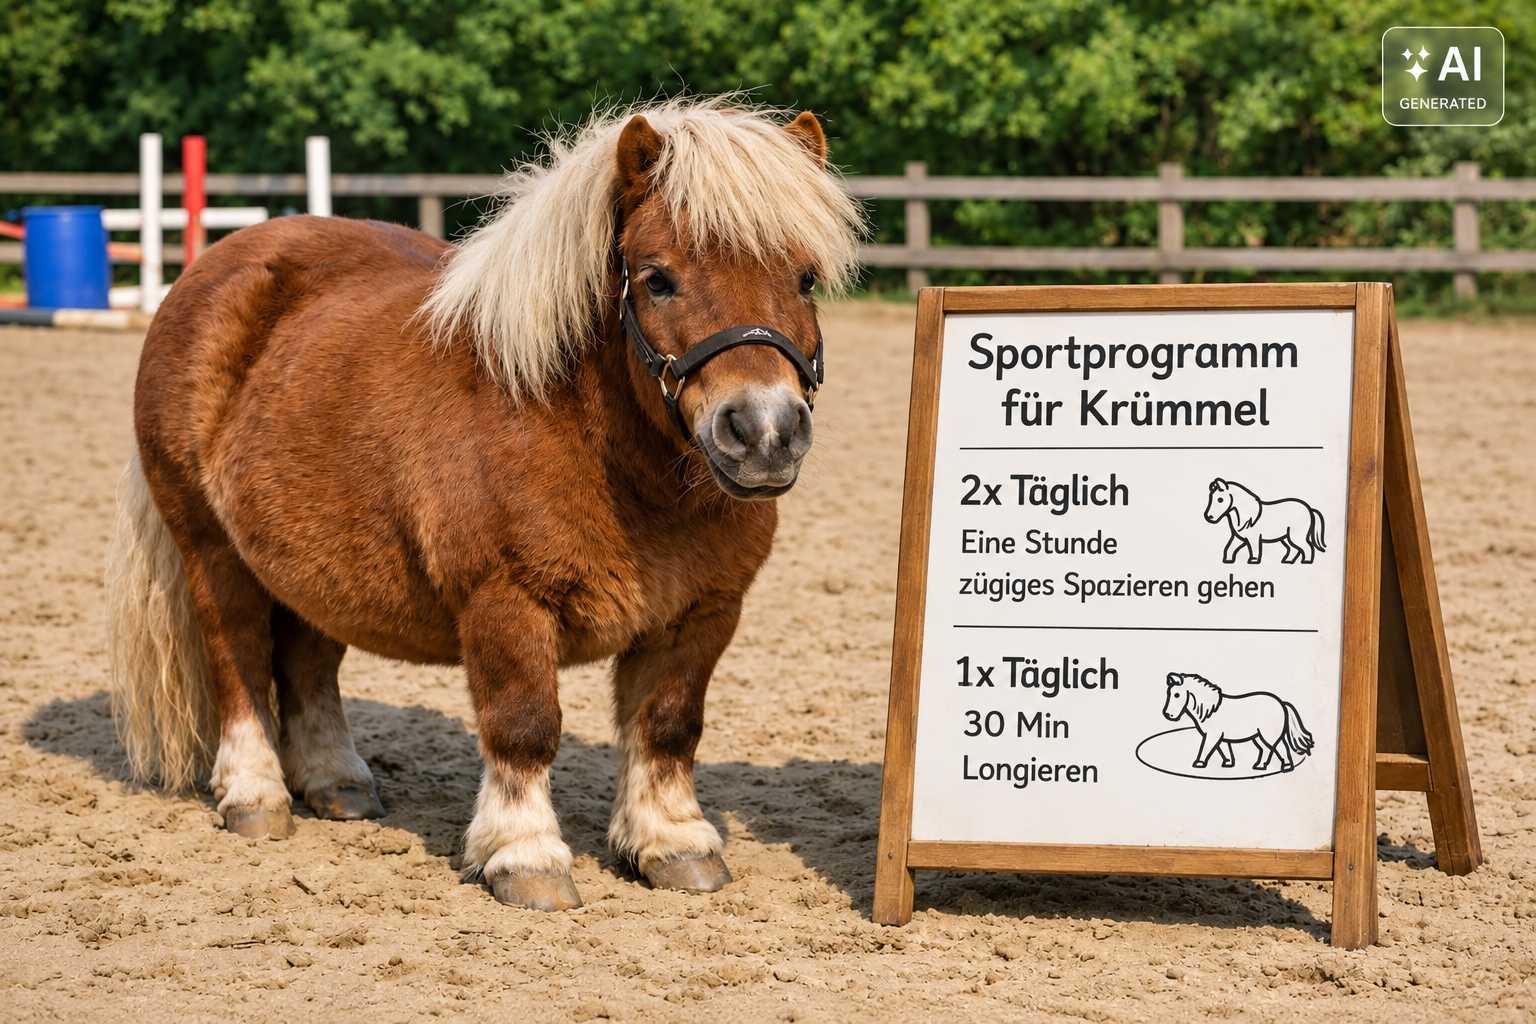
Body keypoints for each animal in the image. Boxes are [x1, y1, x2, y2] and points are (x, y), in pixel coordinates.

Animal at [105, 97, 864, 912]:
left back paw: (336, 782)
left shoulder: (702, 613)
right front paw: (524, 856)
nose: (764, 431)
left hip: (314, 560)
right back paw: (255, 792)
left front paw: (672, 842)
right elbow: (524, 726)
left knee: (308, 660)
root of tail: (211, 269)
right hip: (211, 548)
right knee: (237, 650)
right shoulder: (505, 603)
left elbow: (667, 726)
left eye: (806, 277)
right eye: (658, 279)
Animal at [1161, 672, 1314, 772]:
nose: (1168, 715)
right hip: (1257, 737)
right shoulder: (1221, 737)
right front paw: (1228, 763)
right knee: (1265, 749)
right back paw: (1259, 766)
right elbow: (1224, 750)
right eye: (1169, 694)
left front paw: (1199, 763)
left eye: (1177, 695)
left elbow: (1206, 748)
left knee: (1280, 747)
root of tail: (1281, 703)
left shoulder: (1213, 735)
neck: (1211, 710)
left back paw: (1285, 767)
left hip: (1268, 736)